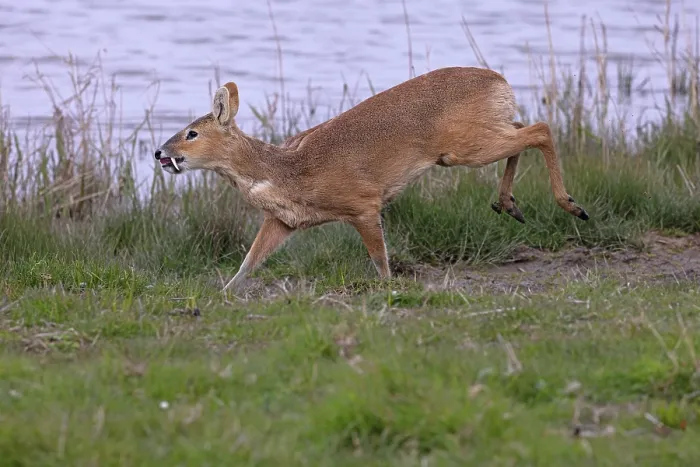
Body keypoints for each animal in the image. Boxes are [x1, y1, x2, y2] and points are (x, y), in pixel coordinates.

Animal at [154, 66, 589, 293]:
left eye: (191, 133)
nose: (159, 152)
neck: (287, 172)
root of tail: (500, 80)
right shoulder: (282, 221)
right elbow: (249, 261)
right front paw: (223, 292)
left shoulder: (363, 203)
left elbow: (381, 259)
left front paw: (390, 289)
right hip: (476, 139)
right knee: (523, 128)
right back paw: (508, 203)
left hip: (464, 148)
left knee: (541, 129)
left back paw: (571, 205)